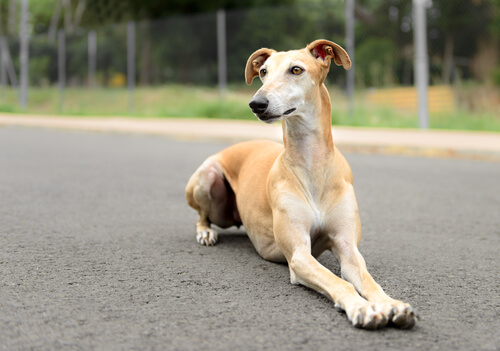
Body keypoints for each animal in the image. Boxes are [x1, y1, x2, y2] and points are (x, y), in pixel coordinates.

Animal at [186, 39, 416, 330]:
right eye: (263, 72)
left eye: (296, 69)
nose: (256, 103)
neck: (312, 165)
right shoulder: (299, 255)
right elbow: (337, 281)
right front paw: (362, 308)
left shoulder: (347, 246)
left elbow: (367, 279)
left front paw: (392, 304)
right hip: (208, 177)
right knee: (201, 216)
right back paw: (205, 232)